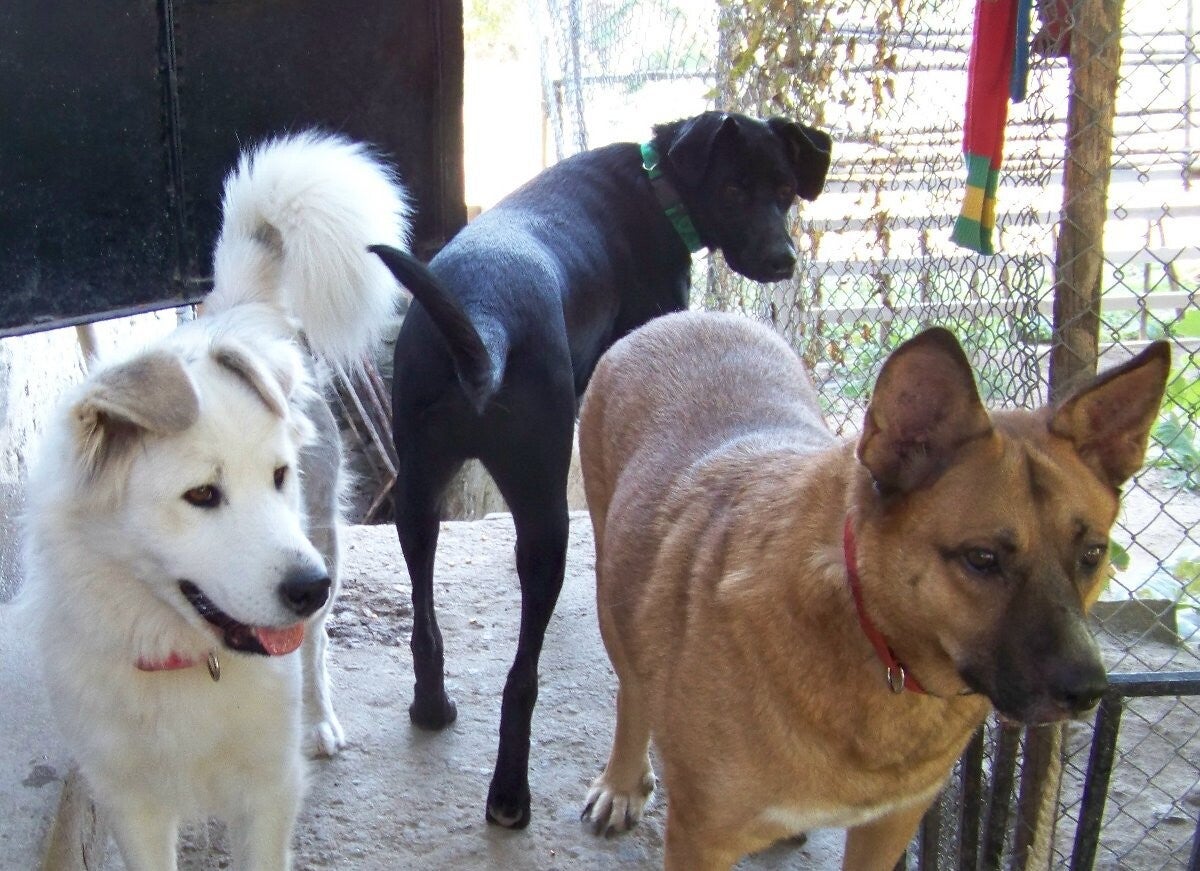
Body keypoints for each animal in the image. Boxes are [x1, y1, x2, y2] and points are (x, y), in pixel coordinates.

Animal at [20, 132, 409, 870]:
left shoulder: (267, 793)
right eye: (201, 494)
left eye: (278, 475)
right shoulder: (133, 807)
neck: (182, 653)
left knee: (317, 650)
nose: (309, 587)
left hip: (325, 540)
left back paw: (321, 719)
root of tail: (234, 313)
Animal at [368, 110, 833, 828]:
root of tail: (483, 316)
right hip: (539, 510)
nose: (782, 259)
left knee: (425, 623)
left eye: (784, 188)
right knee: (521, 677)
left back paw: (432, 708)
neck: (656, 181)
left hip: (417, 494)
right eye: (733, 190)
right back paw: (510, 795)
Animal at [577, 311, 1169, 870]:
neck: (870, 640)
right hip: (611, 592)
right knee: (632, 684)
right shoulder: (701, 840)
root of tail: (685, 316)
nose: (1087, 691)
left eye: (1092, 555)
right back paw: (622, 781)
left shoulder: (890, 825)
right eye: (982, 559)